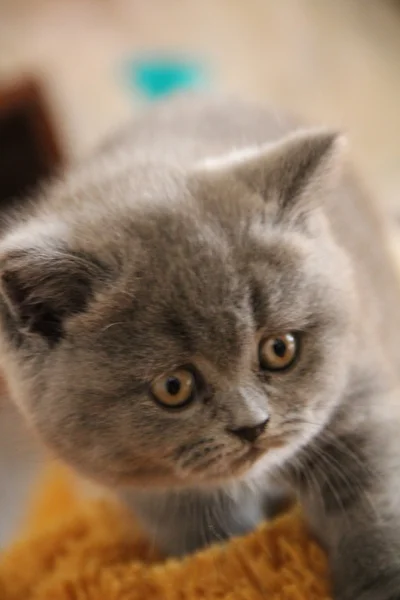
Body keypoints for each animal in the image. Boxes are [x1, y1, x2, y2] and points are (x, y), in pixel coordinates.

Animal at [0, 96, 400, 596]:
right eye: (174, 386)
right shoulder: (156, 494)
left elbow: (369, 498)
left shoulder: (357, 392)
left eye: (280, 349)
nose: (252, 426)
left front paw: (380, 582)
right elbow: (212, 547)